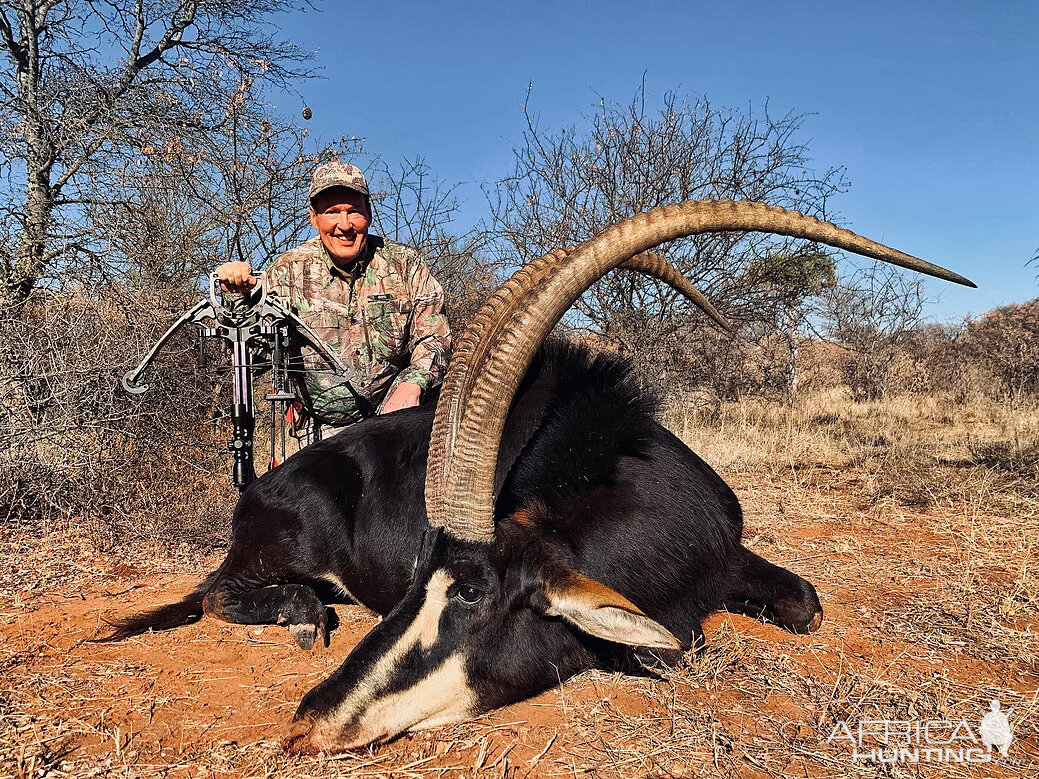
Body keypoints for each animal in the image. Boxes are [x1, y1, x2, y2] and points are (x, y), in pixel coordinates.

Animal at [107, 201, 972, 756]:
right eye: (417, 576)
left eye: (470, 592)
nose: (309, 722)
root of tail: (260, 487)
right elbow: (663, 650)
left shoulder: (731, 553)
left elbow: (804, 603)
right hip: (277, 547)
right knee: (217, 592)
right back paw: (303, 613)